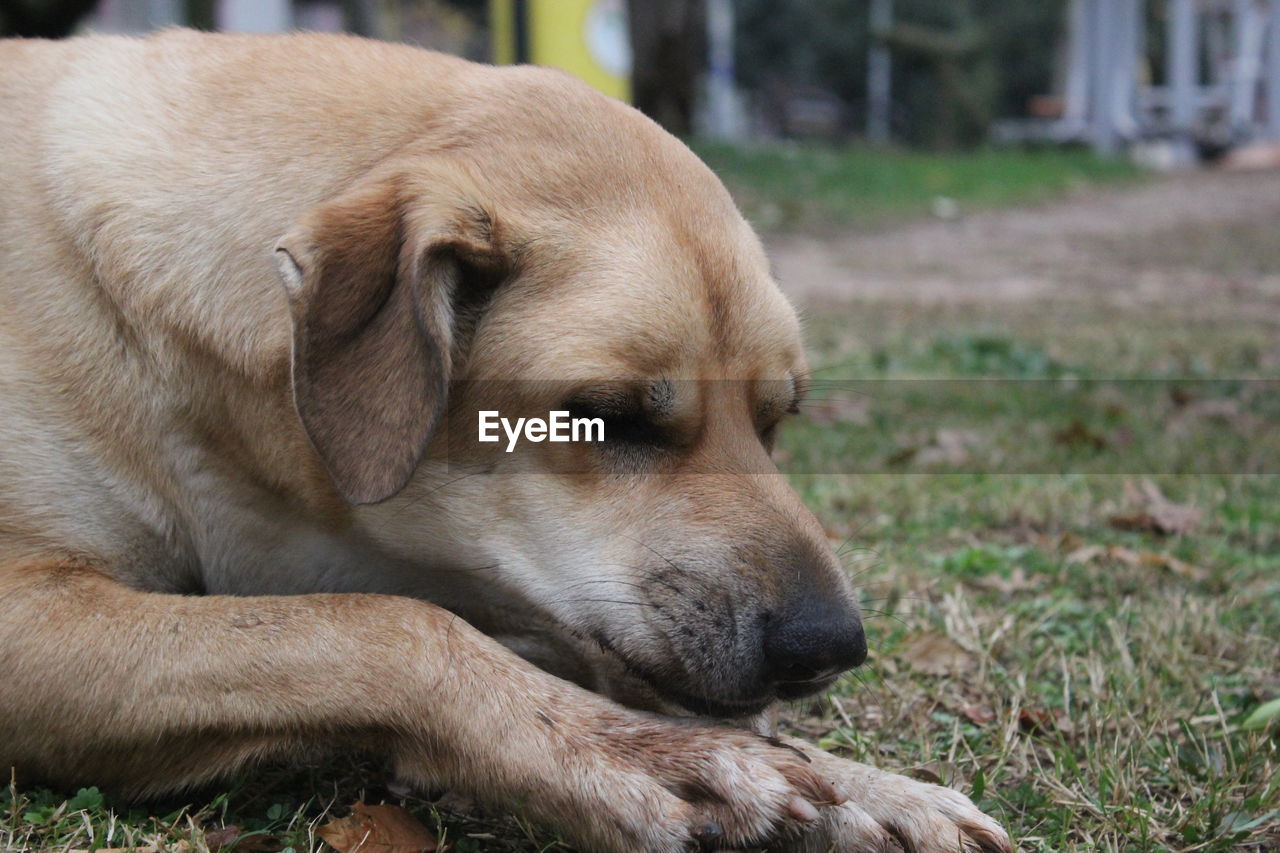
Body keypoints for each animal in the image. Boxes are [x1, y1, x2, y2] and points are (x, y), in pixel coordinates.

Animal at [0, 29, 1008, 845]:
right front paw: (649, 757)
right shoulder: (31, 608)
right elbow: (388, 629)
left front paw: (864, 789)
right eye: (610, 415)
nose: (831, 645)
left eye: (775, 420)